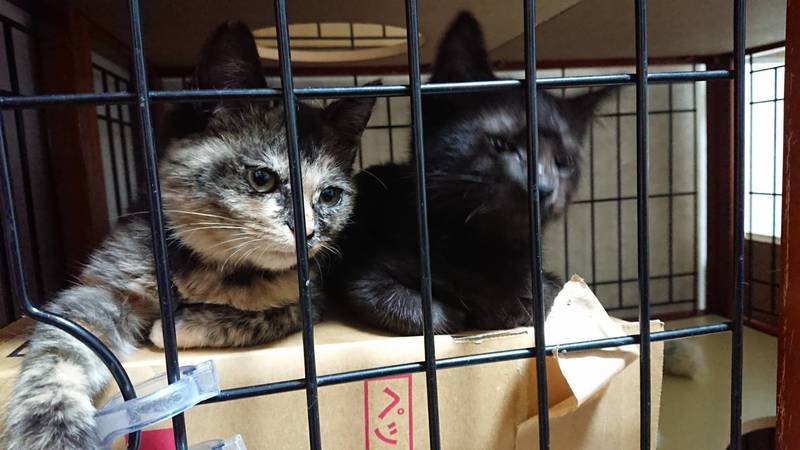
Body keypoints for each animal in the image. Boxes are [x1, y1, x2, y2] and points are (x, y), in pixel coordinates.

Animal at [3, 21, 375, 450]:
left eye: (329, 195)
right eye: (261, 177)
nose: (308, 232)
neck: (218, 268)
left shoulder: (312, 294)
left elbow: (276, 312)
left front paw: (186, 324)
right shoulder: (106, 283)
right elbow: (64, 344)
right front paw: (52, 428)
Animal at [326, 11, 612, 335]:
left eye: (563, 161)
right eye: (501, 144)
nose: (543, 186)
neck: (481, 247)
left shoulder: (546, 277)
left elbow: (541, 294)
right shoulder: (364, 274)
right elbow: (409, 307)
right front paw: (461, 312)